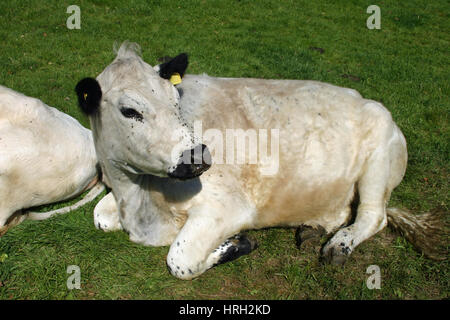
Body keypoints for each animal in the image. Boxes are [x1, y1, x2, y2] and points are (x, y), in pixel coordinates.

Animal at [75, 41, 444, 278]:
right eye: (129, 110)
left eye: (175, 99)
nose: (198, 156)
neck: (139, 203)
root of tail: (373, 103)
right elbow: (99, 215)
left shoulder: (228, 206)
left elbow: (180, 259)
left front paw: (235, 245)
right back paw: (312, 228)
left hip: (377, 164)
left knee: (373, 216)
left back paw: (340, 244)